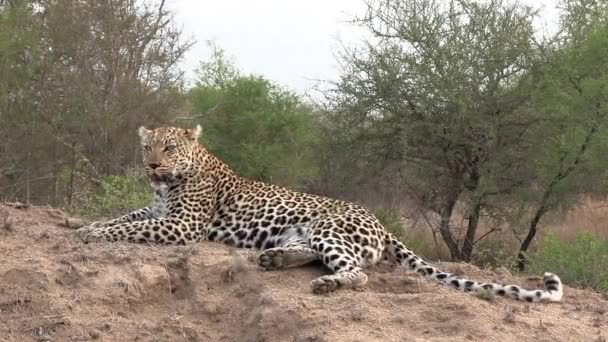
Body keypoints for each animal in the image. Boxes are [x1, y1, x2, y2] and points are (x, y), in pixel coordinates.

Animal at [77, 126, 564, 302]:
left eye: (170, 148)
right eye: (147, 147)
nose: (151, 166)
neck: (173, 181)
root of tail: (381, 223)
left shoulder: (180, 226)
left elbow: (131, 228)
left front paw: (91, 232)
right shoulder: (157, 210)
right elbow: (127, 216)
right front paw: (87, 223)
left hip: (331, 229)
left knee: (358, 272)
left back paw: (327, 284)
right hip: (301, 233)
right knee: (308, 254)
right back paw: (273, 260)